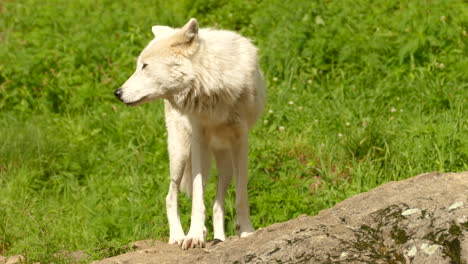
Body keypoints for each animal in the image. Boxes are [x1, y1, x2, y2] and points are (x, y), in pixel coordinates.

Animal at [114, 18, 266, 250]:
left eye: (145, 66)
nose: (117, 93)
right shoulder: (198, 139)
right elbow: (196, 199)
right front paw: (194, 236)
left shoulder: (241, 140)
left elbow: (241, 196)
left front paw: (247, 232)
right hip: (181, 153)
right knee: (170, 195)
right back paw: (177, 236)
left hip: (225, 166)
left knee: (217, 204)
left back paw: (219, 238)